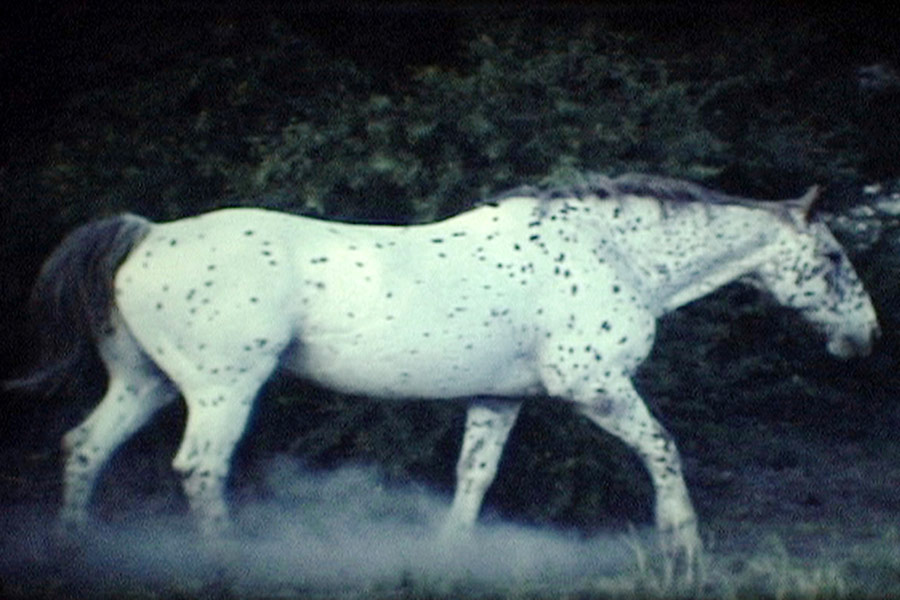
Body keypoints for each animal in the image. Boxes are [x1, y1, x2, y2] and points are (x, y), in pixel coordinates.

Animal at [14, 171, 880, 580]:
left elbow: (474, 478)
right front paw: (685, 549)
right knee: (198, 467)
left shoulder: (497, 400)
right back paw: (222, 566)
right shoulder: (596, 388)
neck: (616, 253)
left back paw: (73, 555)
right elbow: (664, 450)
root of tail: (146, 234)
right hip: (222, 389)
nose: (866, 338)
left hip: (146, 384)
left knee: (84, 446)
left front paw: (454, 558)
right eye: (835, 258)